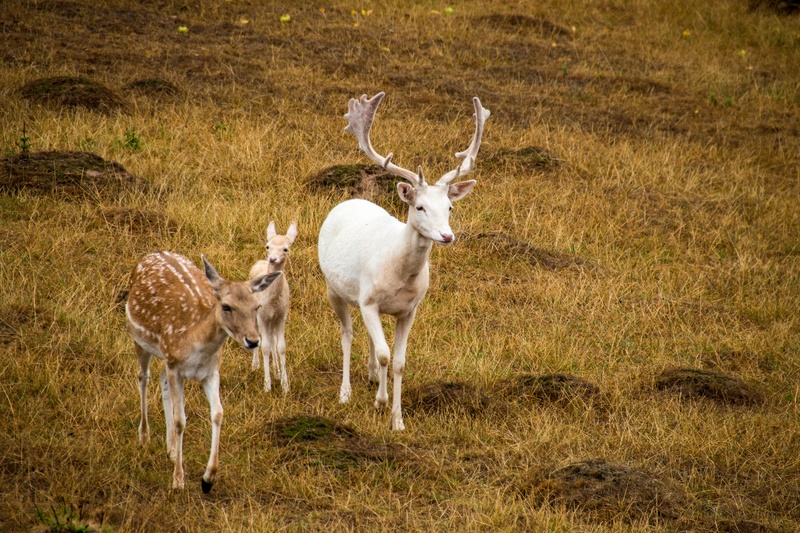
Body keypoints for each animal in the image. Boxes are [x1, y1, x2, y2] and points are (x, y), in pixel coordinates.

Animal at [125, 251, 281, 492]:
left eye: (257, 307)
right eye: (226, 306)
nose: (253, 341)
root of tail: (151, 255)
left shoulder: (210, 372)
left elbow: (218, 414)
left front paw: (208, 478)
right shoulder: (175, 366)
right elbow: (180, 420)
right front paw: (178, 480)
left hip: (166, 359)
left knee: (161, 380)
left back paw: (171, 449)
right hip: (139, 338)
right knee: (144, 377)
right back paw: (144, 437)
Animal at [248, 220, 298, 393]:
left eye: (286, 249)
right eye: (267, 246)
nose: (272, 259)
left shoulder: (282, 315)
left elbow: (281, 346)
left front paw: (285, 385)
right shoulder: (262, 316)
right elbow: (265, 347)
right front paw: (267, 386)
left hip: (273, 320)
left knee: (273, 340)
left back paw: (276, 371)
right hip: (255, 314)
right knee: (260, 338)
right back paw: (255, 365)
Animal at [318, 91, 490, 430]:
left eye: (450, 207)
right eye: (419, 206)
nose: (447, 235)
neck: (400, 275)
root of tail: (349, 200)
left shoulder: (409, 309)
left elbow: (398, 361)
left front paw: (397, 419)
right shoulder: (369, 299)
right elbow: (386, 354)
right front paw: (381, 403)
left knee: (369, 338)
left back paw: (372, 375)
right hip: (333, 287)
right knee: (347, 333)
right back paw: (346, 392)